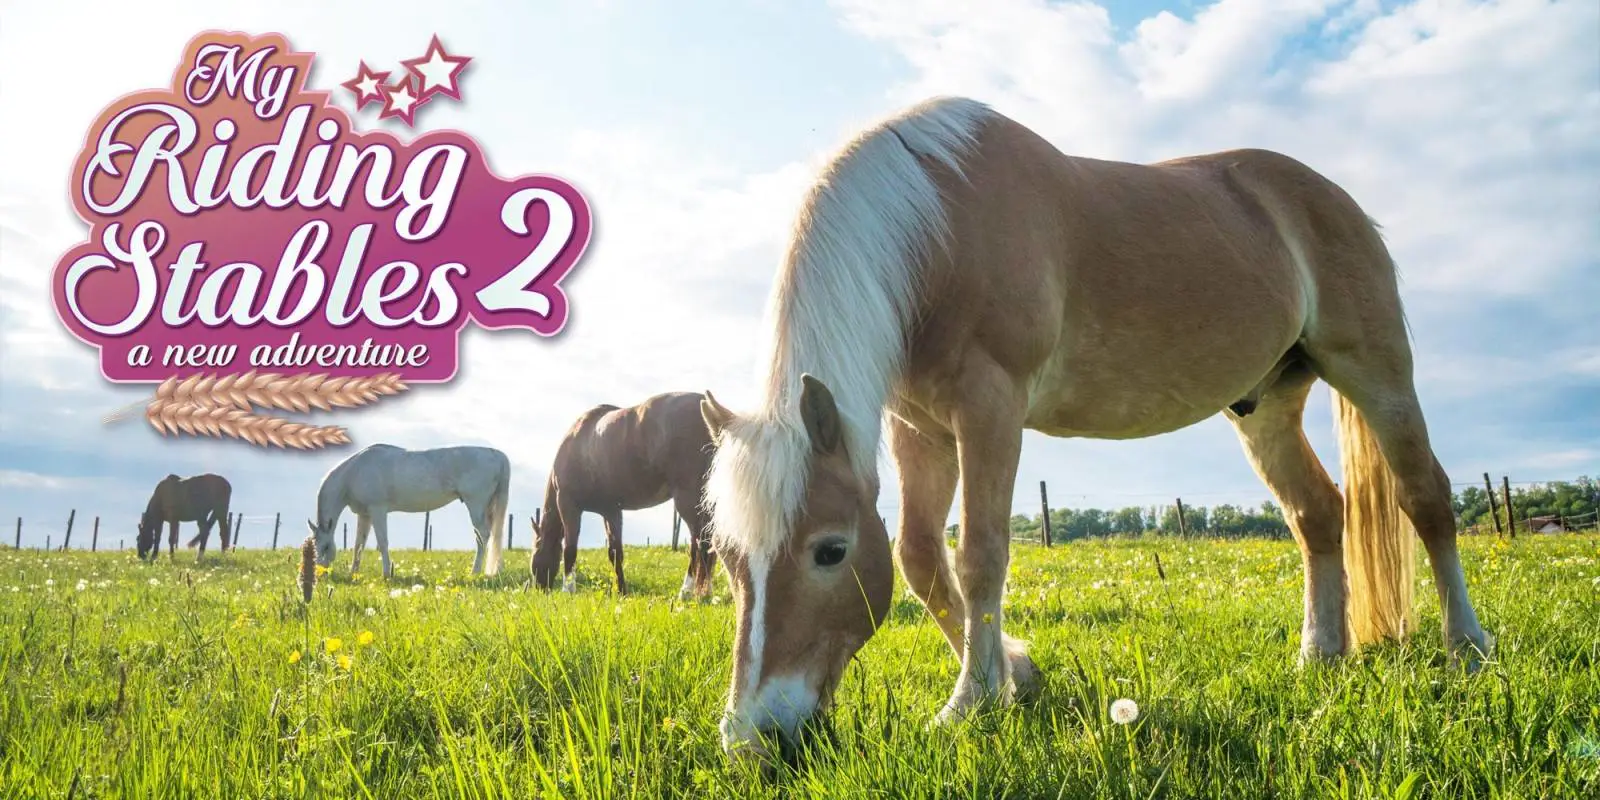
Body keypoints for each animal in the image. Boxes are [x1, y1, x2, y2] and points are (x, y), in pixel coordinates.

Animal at [307, 444, 510, 578]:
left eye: (325, 547)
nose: (318, 573)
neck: (354, 472)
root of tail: (497, 454)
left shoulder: (378, 510)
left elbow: (382, 542)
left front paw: (387, 574)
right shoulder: (364, 515)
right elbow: (359, 545)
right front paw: (353, 573)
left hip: (475, 504)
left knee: (483, 535)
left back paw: (474, 572)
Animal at [530, 392, 718, 599]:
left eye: (535, 552)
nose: (539, 589)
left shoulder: (568, 505)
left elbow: (570, 548)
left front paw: (568, 590)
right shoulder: (611, 511)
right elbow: (615, 552)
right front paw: (621, 590)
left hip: (687, 500)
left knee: (698, 543)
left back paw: (686, 591)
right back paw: (706, 592)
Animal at [696, 96, 1493, 763]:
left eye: (829, 551)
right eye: (730, 560)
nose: (752, 737)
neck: (939, 228)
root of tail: (1336, 200)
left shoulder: (990, 408)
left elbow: (980, 555)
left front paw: (969, 704)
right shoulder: (919, 428)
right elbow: (922, 559)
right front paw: (1015, 676)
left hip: (1377, 371)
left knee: (1426, 498)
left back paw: (1468, 649)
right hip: (1267, 405)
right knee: (1317, 515)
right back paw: (1318, 656)